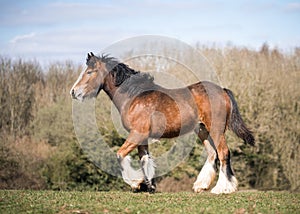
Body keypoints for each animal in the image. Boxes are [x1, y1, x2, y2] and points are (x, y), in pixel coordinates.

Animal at [71, 52, 255, 194]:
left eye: (90, 72)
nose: (73, 92)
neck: (134, 97)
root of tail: (222, 90)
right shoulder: (142, 138)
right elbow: (144, 159)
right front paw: (149, 186)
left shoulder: (137, 134)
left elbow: (120, 155)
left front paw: (136, 184)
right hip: (202, 130)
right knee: (212, 153)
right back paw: (201, 186)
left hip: (216, 129)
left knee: (223, 153)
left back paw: (222, 188)